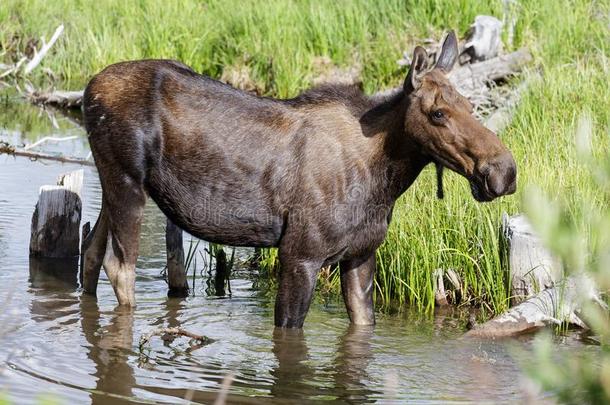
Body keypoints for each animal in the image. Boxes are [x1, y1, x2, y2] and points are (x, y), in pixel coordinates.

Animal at [81, 32, 516, 328]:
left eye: (471, 104)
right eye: (438, 113)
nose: (504, 171)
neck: (385, 181)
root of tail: (87, 90)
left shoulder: (361, 256)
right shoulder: (300, 254)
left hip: (110, 182)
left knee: (90, 252)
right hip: (127, 181)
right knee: (119, 267)